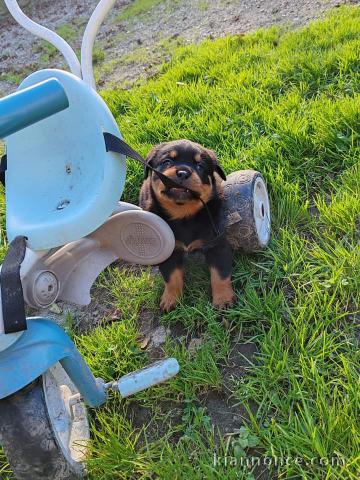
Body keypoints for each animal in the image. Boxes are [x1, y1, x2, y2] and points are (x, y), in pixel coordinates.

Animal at [139, 139, 235, 312]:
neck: (183, 215)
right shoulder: (170, 250)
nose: (183, 172)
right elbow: (171, 276)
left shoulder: (217, 244)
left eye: (200, 166)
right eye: (167, 162)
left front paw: (223, 299)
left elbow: (220, 274)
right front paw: (170, 299)